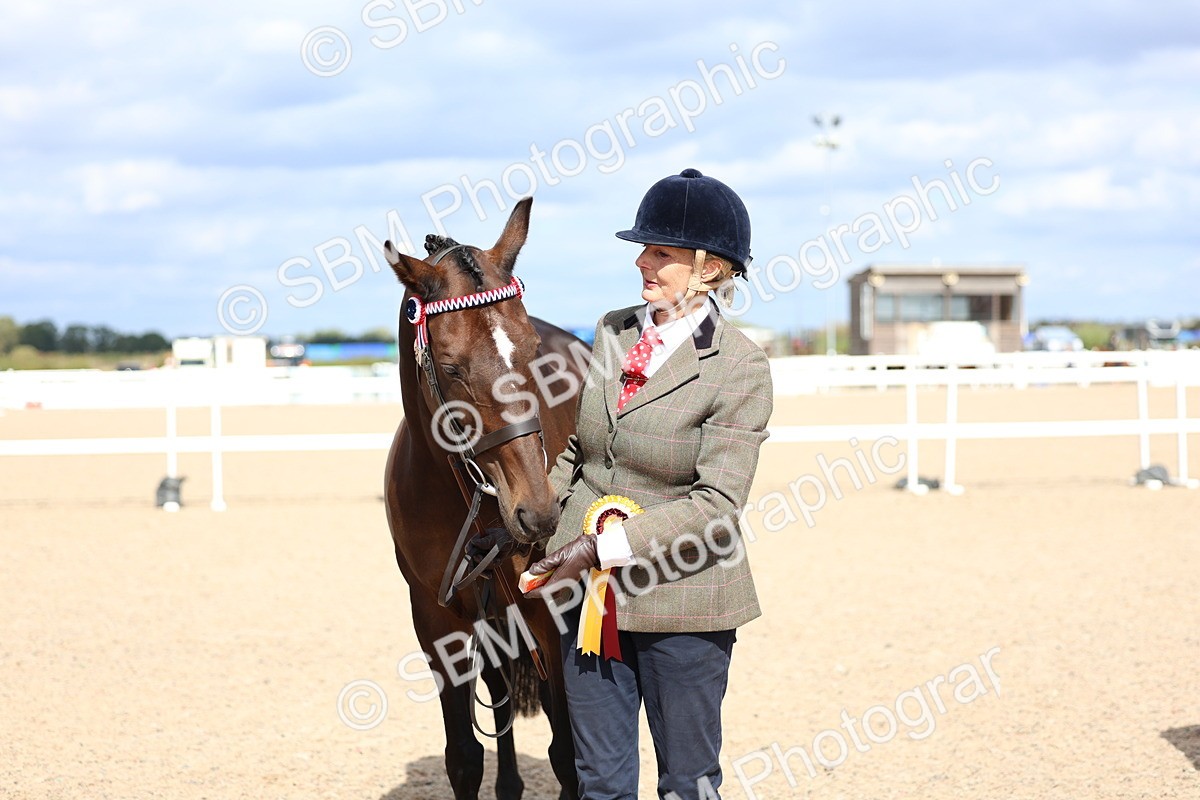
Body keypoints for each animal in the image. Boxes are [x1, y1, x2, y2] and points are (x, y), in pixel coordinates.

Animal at [382, 197, 585, 800]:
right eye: (451, 368)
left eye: (535, 351)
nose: (538, 511)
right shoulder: (436, 618)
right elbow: (464, 759)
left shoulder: (551, 606)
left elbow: (569, 754)